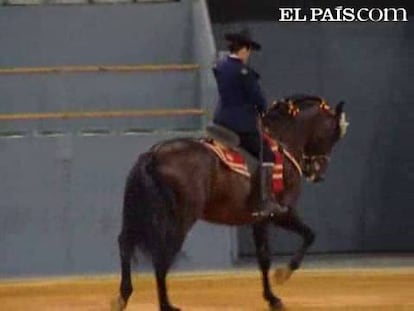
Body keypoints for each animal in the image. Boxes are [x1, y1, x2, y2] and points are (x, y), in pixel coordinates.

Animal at [111, 95, 350, 311]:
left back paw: (123, 296)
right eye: (333, 134)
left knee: (126, 244)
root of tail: (154, 154)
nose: (317, 173)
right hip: (181, 220)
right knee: (162, 255)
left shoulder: (258, 220)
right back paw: (166, 305)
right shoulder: (281, 213)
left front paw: (271, 297)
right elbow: (308, 235)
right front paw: (283, 274)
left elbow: (264, 257)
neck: (282, 142)